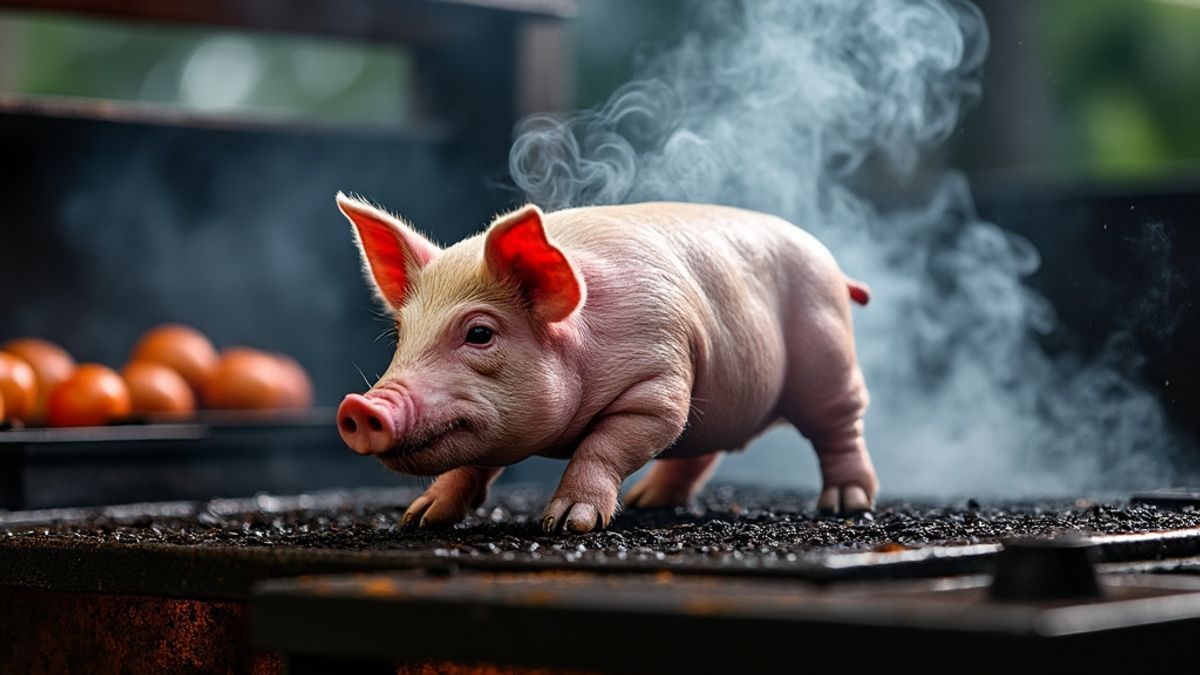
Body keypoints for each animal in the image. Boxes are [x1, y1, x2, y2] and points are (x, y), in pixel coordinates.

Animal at [335, 194, 878, 533]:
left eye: (480, 334)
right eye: (401, 335)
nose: (361, 407)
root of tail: (834, 268)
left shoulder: (656, 383)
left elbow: (602, 446)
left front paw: (565, 524)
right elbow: (472, 466)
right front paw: (419, 518)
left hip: (828, 354)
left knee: (840, 427)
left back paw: (845, 504)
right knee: (700, 450)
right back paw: (648, 503)